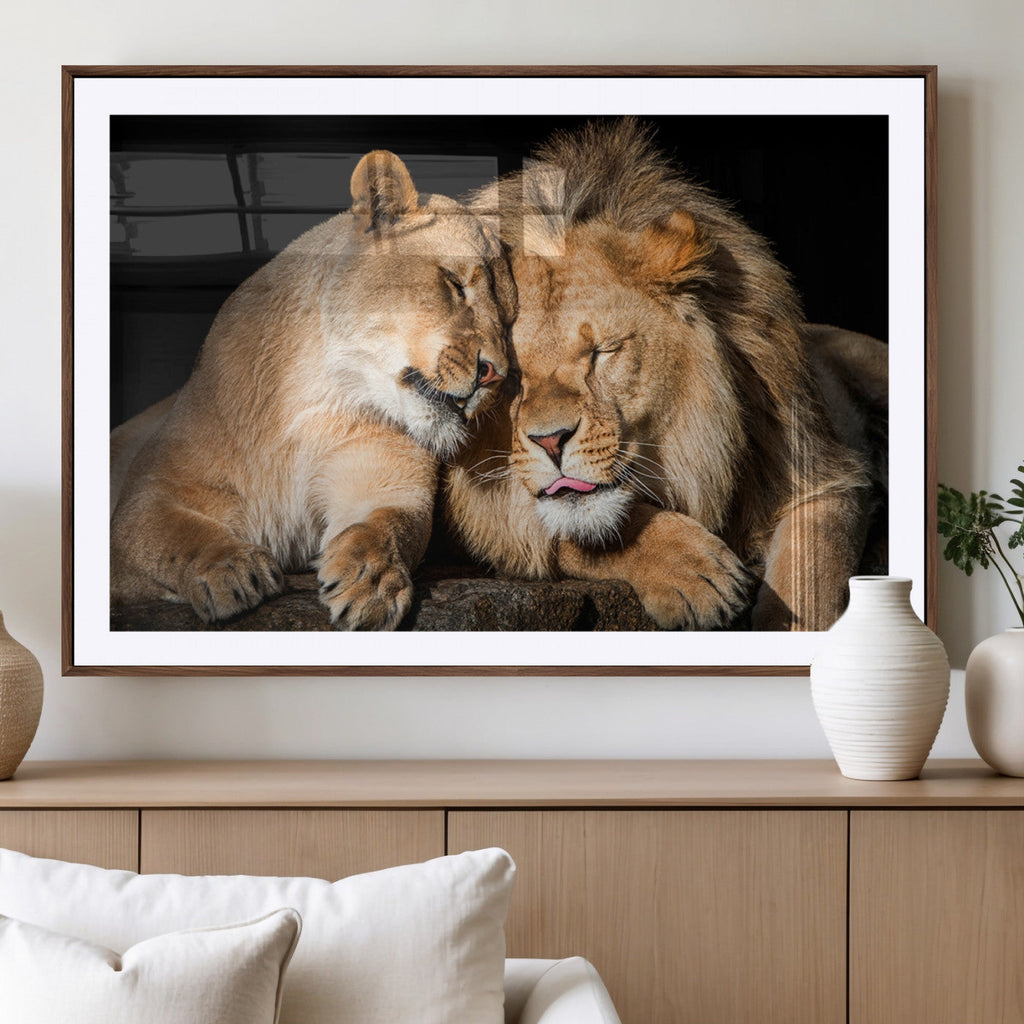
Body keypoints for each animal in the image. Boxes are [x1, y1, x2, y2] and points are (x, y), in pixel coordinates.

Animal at [111, 150, 515, 630]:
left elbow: (388, 526)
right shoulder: (147, 496)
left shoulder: (387, 482)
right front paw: (230, 568)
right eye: (454, 283)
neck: (318, 396)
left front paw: (371, 580)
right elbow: (172, 533)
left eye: (509, 321)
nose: (495, 375)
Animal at [444, 119, 886, 631]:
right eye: (511, 375)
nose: (551, 441)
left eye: (603, 352)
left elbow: (811, 579)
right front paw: (694, 572)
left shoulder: (824, 471)